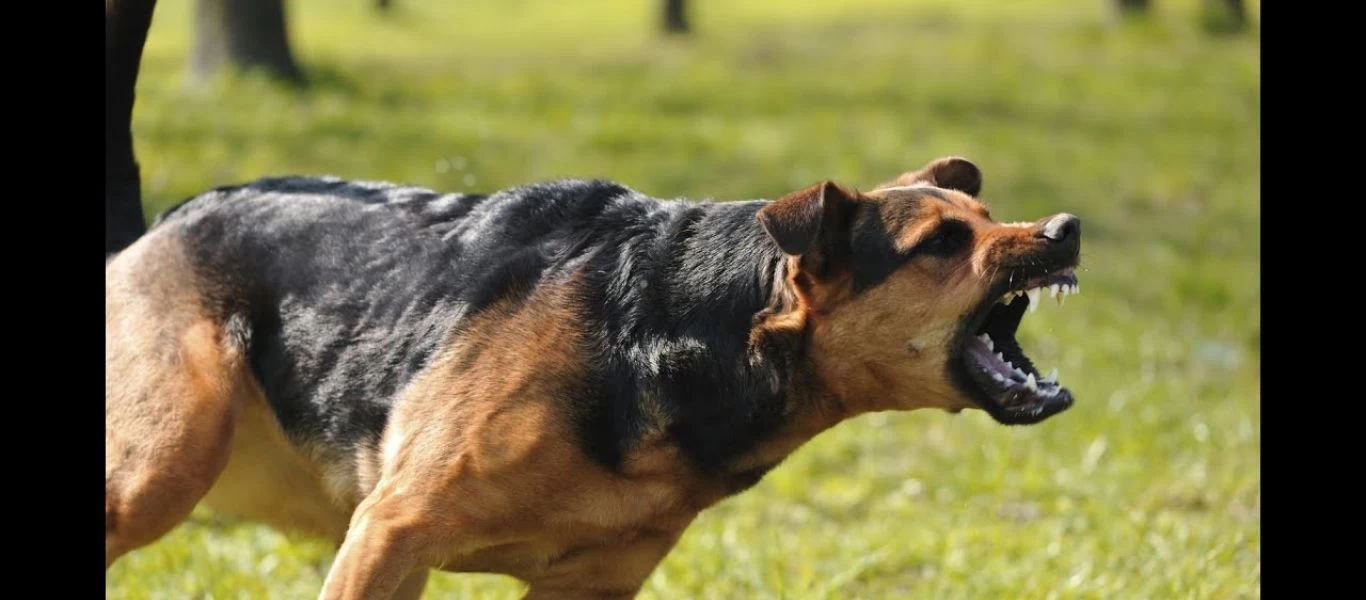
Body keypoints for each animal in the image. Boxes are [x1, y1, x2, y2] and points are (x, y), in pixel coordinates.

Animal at [106, 157, 1081, 598]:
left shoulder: (589, 585)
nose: (1065, 229)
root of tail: (160, 223)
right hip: (163, 469)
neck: (680, 332)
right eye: (943, 243)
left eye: (987, 214)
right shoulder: (391, 535)